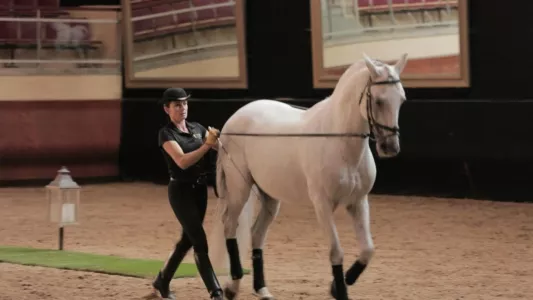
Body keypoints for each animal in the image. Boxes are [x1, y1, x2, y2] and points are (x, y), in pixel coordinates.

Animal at [207, 52, 408, 298]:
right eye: (378, 100)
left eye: (401, 100)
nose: (390, 147)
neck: (339, 141)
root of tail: (233, 120)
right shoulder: (322, 204)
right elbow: (336, 251)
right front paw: (339, 291)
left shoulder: (358, 202)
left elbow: (367, 250)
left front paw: (336, 287)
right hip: (239, 189)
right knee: (230, 226)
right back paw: (232, 286)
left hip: (269, 196)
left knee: (256, 234)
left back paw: (261, 289)